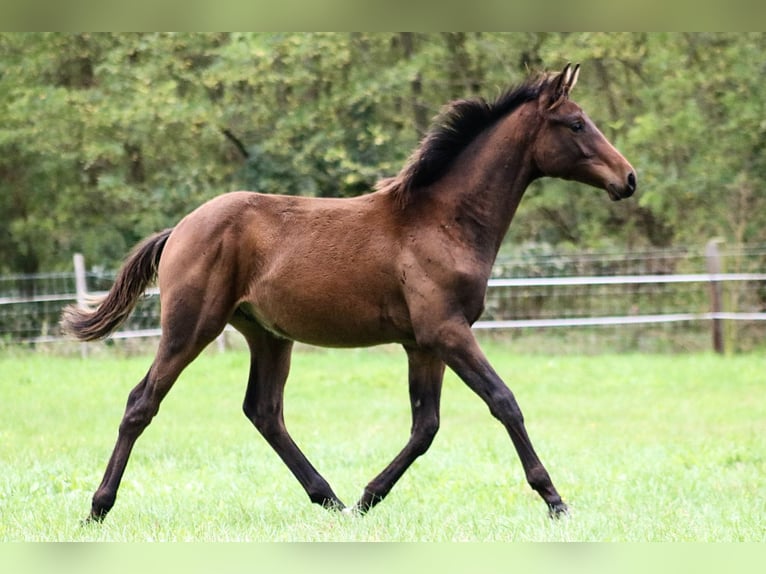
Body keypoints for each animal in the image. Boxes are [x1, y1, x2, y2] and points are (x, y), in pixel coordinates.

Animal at [60, 64, 640, 528]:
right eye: (576, 124)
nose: (629, 179)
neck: (443, 221)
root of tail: (179, 228)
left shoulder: (423, 343)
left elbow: (425, 427)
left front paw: (367, 498)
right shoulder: (446, 332)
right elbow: (504, 403)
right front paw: (556, 501)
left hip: (268, 335)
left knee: (264, 411)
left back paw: (331, 500)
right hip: (191, 326)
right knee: (142, 402)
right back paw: (98, 508)